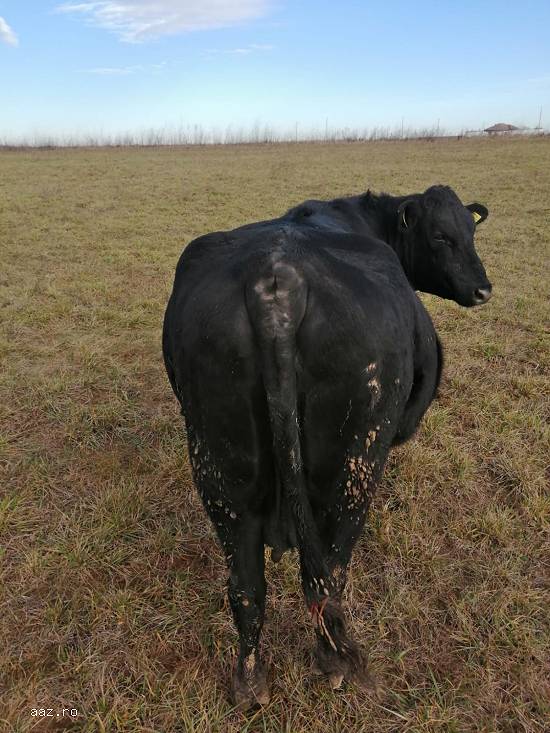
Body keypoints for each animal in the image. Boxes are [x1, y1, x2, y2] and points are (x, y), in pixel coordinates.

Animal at [162, 185, 492, 708]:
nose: (483, 289)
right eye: (441, 236)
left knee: (246, 588)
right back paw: (334, 663)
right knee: (329, 577)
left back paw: (249, 683)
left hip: (220, 471)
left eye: (471, 229)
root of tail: (279, 279)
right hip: (353, 467)